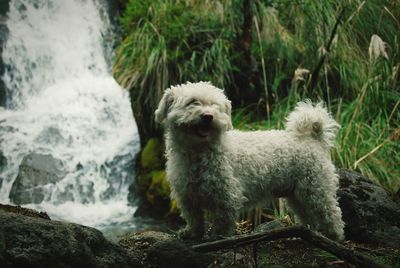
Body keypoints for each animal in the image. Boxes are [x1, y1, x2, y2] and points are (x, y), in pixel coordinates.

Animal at [155, 81, 346, 241]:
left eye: (215, 106)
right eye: (192, 102)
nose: (208, 116)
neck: (199, 152)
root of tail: (312, 138)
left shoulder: (227, 196)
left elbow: (223, 222)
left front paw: (218, 237)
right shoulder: (188, 195)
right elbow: (193, 218)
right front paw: (192, 233)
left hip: (316, 188)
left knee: (332, 213)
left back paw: (335, 236)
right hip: (297, 194)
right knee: (308, 216)